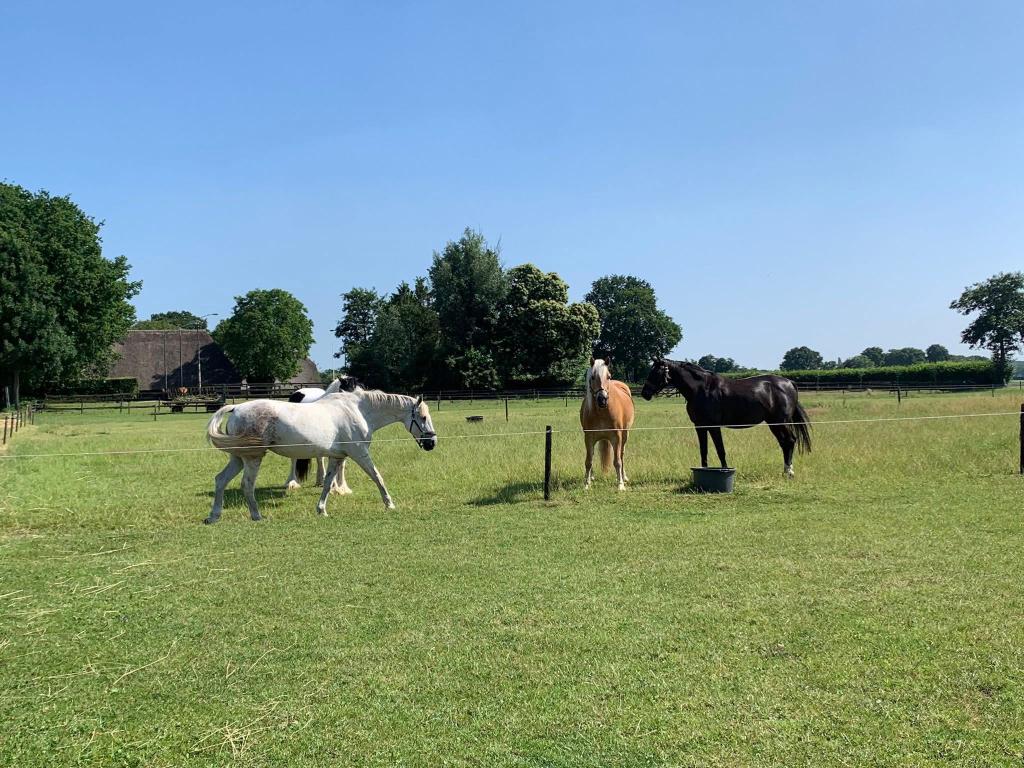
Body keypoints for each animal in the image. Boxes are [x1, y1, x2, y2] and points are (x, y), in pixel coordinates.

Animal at [204, 389, 436, 523]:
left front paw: (321, 509)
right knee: (246, 484)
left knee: (221, 480)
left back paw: (214, 516)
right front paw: (389, 504)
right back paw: (256, 515)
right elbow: (377, 476)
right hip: (252, 458)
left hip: (238, 458)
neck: (358, 411)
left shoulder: (337, 457)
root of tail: (236, 408)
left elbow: (327, 483)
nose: (432, 443)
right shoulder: (360, 453)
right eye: (423, 417)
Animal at [580, 358, 635, 490]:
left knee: (621, 455)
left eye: (608, 376)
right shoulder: (588, 437)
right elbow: (589, 461)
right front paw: (586, 484)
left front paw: (620, 485)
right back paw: (591, 478)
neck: (602, 412)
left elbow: (617, 461)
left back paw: (624, 477)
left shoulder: (617, 437)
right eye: (593, 377)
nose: (602, 400)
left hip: (625, 435)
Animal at [640, 358, 811, 477]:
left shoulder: (714, 426)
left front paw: (724, 470)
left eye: (656, 373)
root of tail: (789, 382)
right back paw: (785, 470)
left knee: (790, 441)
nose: (645, 393)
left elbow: (720, 450)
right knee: (784, 443)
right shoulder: (700, 426)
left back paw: (789, 472)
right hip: (773, 423)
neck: (702, 388)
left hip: (780, 422)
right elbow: (704, 451)